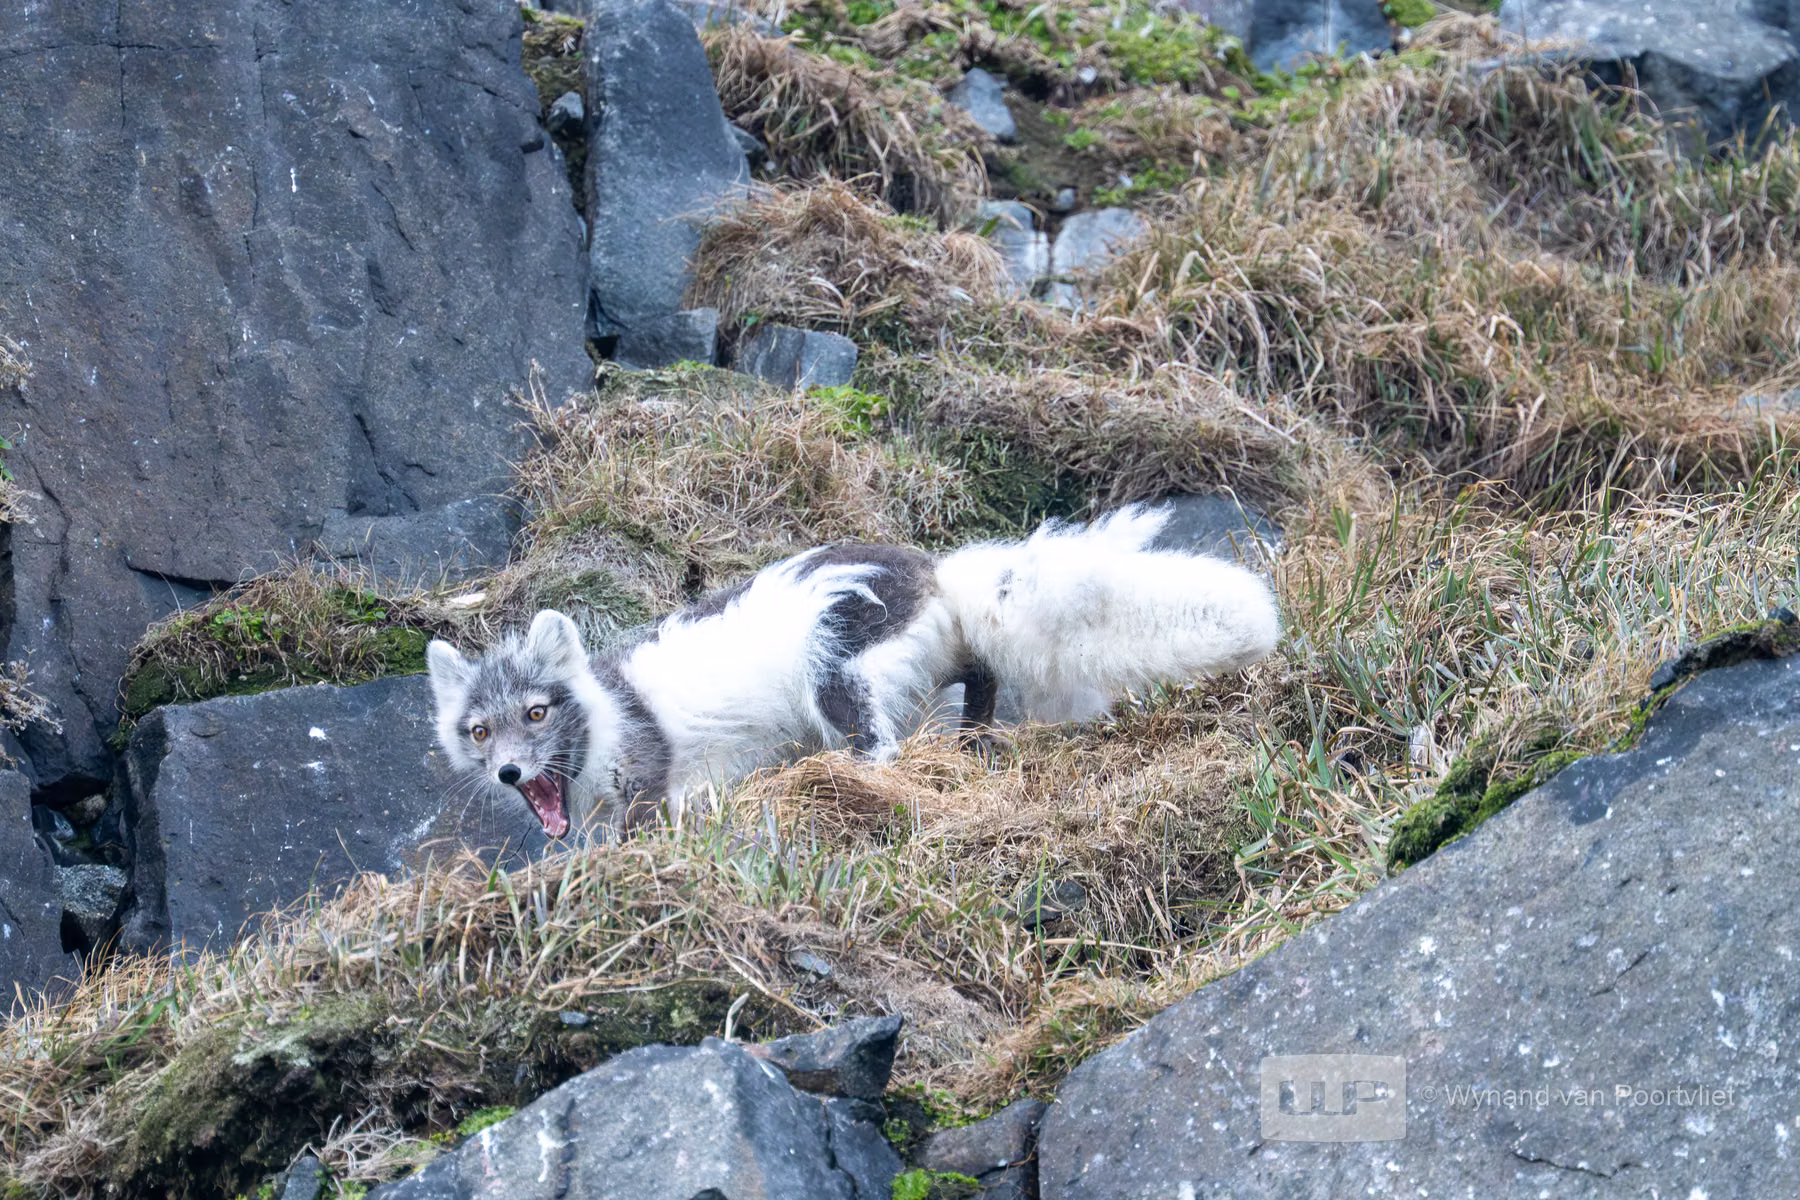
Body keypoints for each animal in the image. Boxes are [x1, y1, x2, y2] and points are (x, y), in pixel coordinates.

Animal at [425, 502, 1281, 841]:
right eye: (478, 730)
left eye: (537, 712)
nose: (508, 773)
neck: (607, 715)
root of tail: (934, 572)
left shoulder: (658, 784)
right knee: (978, 674)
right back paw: (971, 741)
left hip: (837, 671)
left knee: (881, 740)